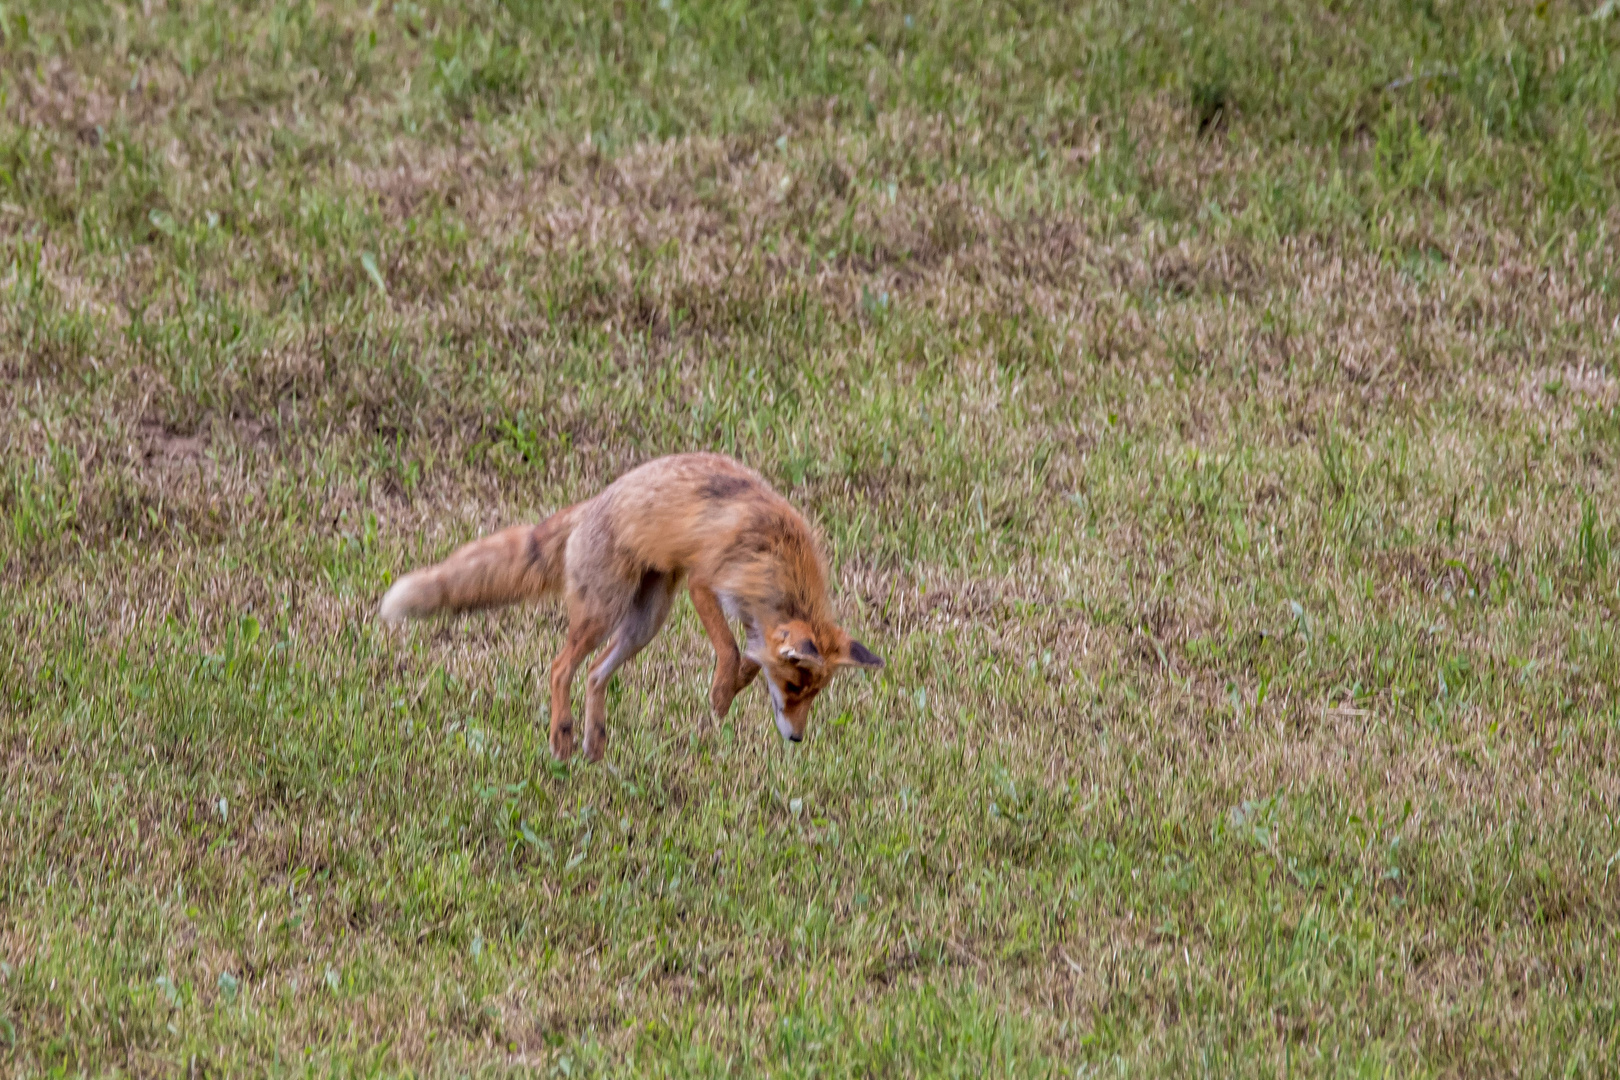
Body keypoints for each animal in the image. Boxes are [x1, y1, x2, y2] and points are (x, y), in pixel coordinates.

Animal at [375, 453, 887, 764]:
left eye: (813, 693)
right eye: (795, 686)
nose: (796, 738)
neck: (777, 559)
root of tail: (591, 504)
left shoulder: (750, 615)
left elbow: (749, 657)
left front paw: (733, 686)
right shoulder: (705, 583)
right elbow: (728, 651)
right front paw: (721, 696)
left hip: (644, 622)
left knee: (594, 674)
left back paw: (594, 746)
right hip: (604, 612)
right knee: (560, 668)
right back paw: (561, 738)